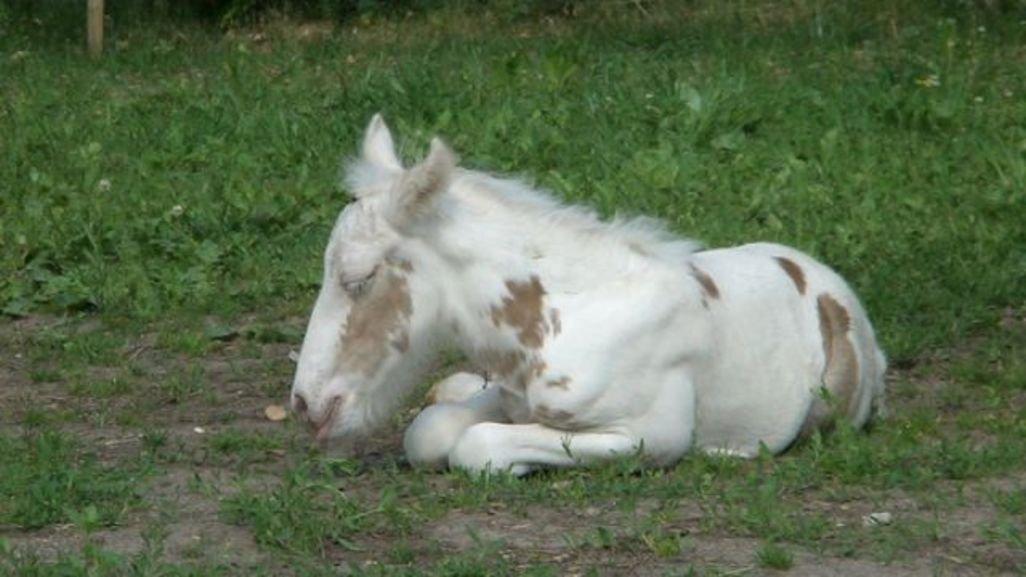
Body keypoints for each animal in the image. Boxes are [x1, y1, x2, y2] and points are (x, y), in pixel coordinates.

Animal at [289, 114, 882, 474]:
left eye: (358, 278)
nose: (304, 405)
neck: (565, 317)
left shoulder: (652, 434)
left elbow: (477, 446)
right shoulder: (508, 393)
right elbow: (429, 431)